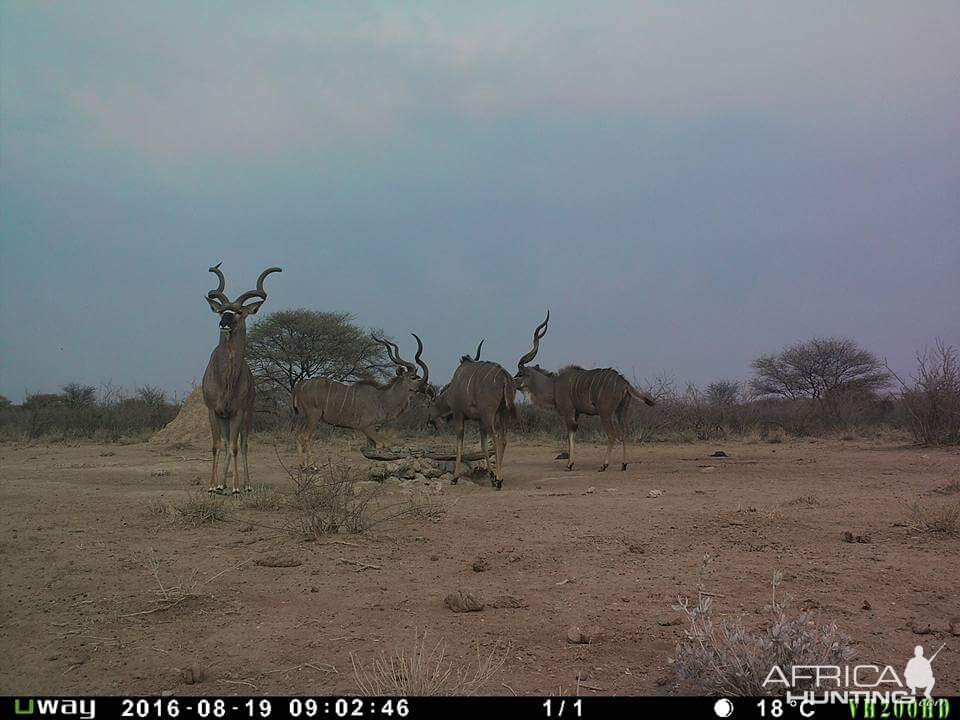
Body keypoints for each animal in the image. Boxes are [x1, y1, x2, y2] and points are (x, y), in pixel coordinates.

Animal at [201, 262, 280, 496]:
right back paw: (222, 484)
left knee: (242, 445)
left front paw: (236, 487)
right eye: (221, 310)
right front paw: (213, 485)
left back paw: (246, 484)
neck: (226, 379)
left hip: (247, 415)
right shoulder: (213, 411)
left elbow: (236, 447)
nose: (223, 323)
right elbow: (217, 446)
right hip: (225, 419)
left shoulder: (238, 411)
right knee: (228, 444)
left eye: (238, 312)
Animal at [290, 334, 430, 466]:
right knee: (304, 437)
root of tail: (299, 386)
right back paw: (310, 466)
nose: (425, 388)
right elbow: (382, 444)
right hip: (313, 416)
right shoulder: (365, 426)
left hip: (308, 417)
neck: (382, 398)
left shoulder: (372, 429)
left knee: (299, 436)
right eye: (413, 377)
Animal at [432, 342, 512, 490]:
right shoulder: (480, 420)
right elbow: (483, 445)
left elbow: (460, 444)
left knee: (497, 439)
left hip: (489, 415)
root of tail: (504, 376)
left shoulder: (459, 414)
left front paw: (454, 478)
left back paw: (499, 481)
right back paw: (498, 478)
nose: (431, 421)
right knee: (503, 439)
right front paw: (491, 476)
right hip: (503, 412)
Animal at [512, 310, 656, 472]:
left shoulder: (568, 411)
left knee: (612, 435)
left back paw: (604, 465)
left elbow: (569, 434)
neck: (553, 385)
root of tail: (624, 382)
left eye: (519, 374)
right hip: (621, 412)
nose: (511, 381)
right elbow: (572, 434)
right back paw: (624, 465)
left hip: (605, 413)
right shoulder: (577, 413)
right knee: (624, 433)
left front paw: (569, 464)